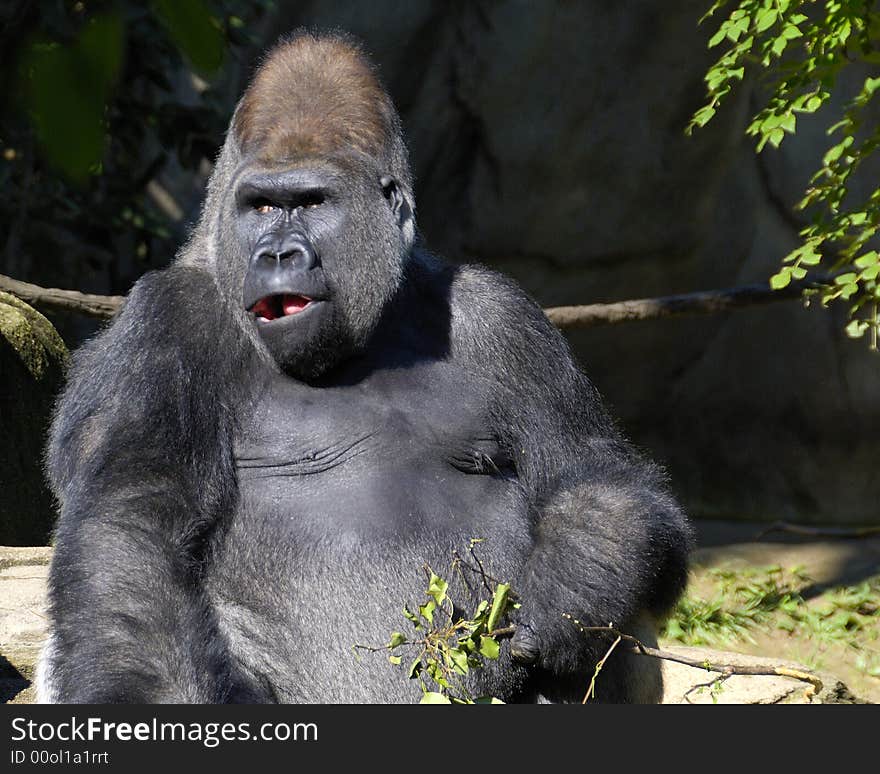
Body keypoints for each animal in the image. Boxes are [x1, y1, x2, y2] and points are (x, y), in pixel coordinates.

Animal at [36, 33, 696, 708]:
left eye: (310, 203)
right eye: (261, 206)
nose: (277, 254)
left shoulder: (505, 318)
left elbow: (594, 475)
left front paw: (575, 584)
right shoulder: (162, 322)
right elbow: (132, 537)